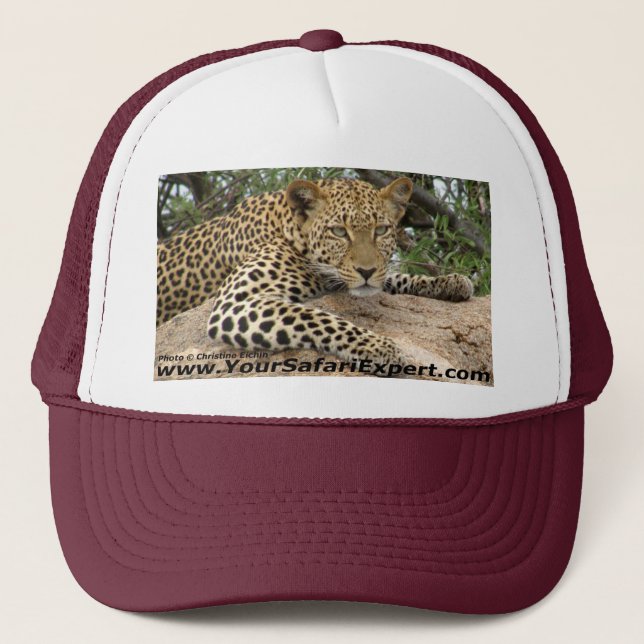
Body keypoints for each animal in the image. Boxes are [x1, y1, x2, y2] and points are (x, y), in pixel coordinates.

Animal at [157, 177, 474, 370]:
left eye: (381, 230)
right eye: (339, 232)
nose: (367, 270)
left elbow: (391, 278)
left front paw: (450, 282)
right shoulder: (235, 303)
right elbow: (318, 318)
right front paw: (381, 347)